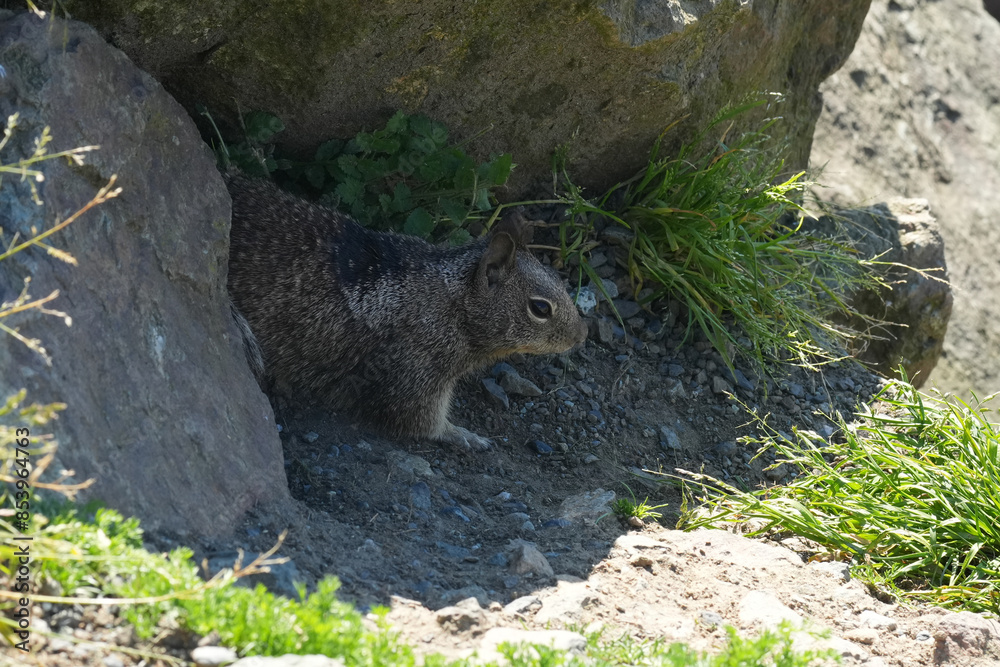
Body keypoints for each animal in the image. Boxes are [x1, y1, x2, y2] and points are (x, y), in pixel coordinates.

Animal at [225, 174, 588, 451]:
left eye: (560, 279)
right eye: (540, 308)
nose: (580, 335)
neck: (449, 301)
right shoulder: (416, 372)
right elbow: (421, 421)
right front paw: (465, 436)